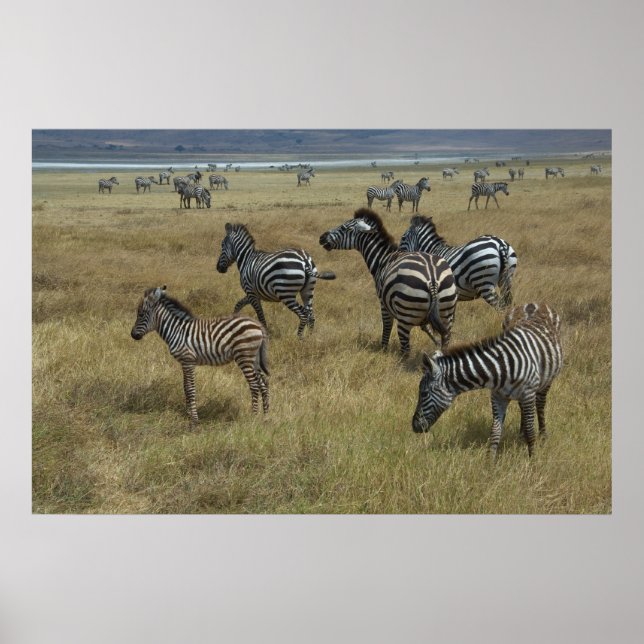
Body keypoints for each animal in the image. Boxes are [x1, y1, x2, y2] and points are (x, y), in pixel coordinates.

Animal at [130, 286, 269, 425]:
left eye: (141, 314)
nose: (132, 335)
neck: (177, 330)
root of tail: (258, 325)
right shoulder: (184, 362)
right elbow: (185, 387)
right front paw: (188, 413)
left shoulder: (188, 360)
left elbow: (190, 389)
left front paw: (194, 420)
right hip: (254, 359)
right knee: (263, 383)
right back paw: (265, 416)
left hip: (244, 357)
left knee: (254, 385)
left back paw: (253, 417)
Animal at [319, 208, 457, 356]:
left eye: (344, 228)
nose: (322, 237)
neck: (382, 258)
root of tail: (432, 277)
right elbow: (428, 329)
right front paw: (436, 343)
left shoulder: (383, 303)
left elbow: (386, 326)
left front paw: (383, 349)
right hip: (447, 314)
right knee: (446, 339)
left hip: (405, 315)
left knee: (405, 349)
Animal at [412, 302, 563, 458]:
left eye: (424, 393)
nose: (414, 426)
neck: (502, 369)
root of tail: (533, 303)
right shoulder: (498, 396)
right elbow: (495, 431)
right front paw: (490, 461)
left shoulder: (527, 394)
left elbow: (531, 431)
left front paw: (532, 459)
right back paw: (521, 433)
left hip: (546, 381)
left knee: (540, 404)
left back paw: (543, 435)